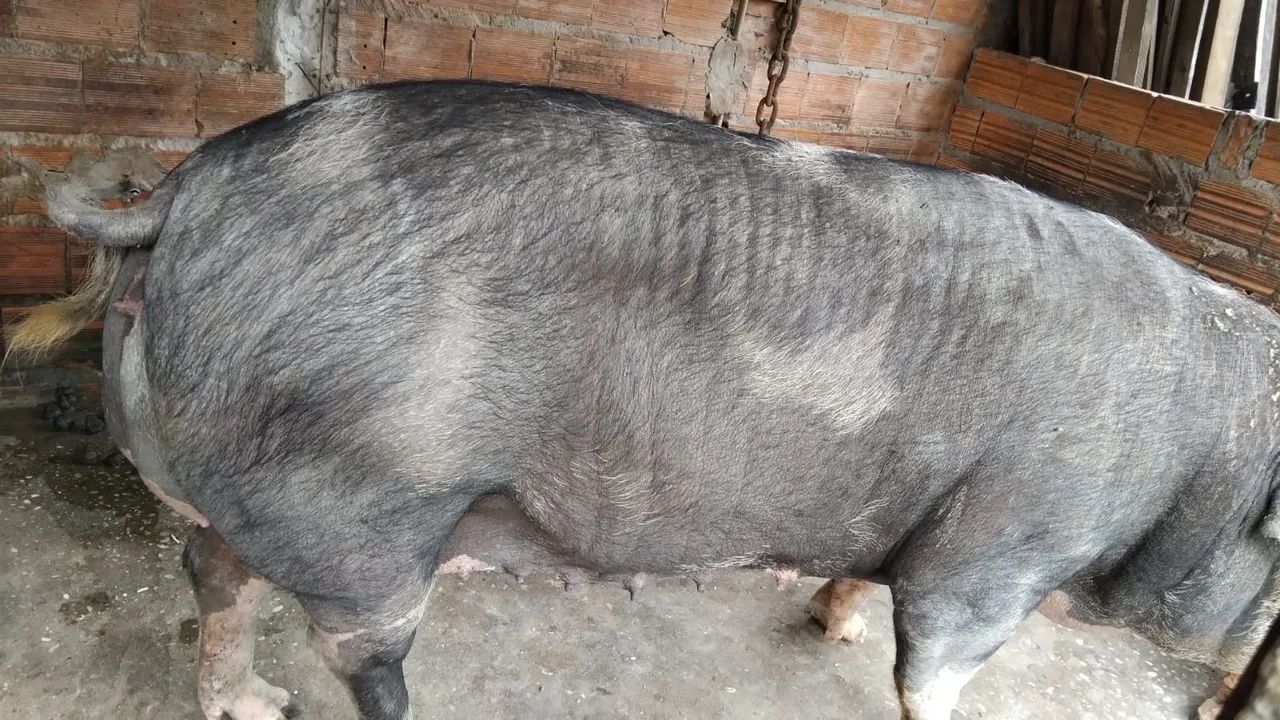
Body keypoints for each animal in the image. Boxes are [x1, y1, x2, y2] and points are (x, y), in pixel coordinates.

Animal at [10, 79, 1280, 720]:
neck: (1200, 460)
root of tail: (189, 181)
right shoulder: (1007, 540)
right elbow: (936, 671)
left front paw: (828, 620)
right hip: (358, 497)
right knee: (357, 655)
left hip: (230, 478)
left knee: (210, 578)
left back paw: (250, 705)